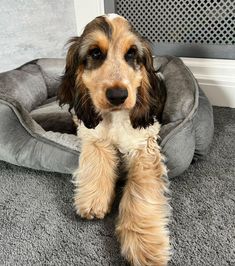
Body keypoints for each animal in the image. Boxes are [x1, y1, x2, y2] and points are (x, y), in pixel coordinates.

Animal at [57, 14, 171, 266]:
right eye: (95, 53)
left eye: (131, 53)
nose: (118, 95)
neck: (116, 117)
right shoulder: (94, 136)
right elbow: (97, 162)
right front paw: (93, 200)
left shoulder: (144, 146)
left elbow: (140, 190)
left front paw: (144, 246)